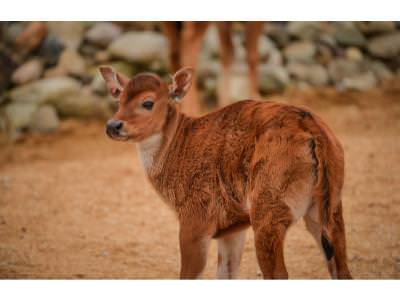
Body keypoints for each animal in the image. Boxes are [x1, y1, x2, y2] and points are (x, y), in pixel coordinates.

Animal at [100, 67, 354, 280]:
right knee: (341, 268)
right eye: (118, 99)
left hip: (269, 208)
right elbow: (227, 274)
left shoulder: (196, 218)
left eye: (148, 102)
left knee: (280, 273)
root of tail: (313, 130)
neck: (176, 149)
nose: (113, 125)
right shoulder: (232, 227)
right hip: (329, 206)